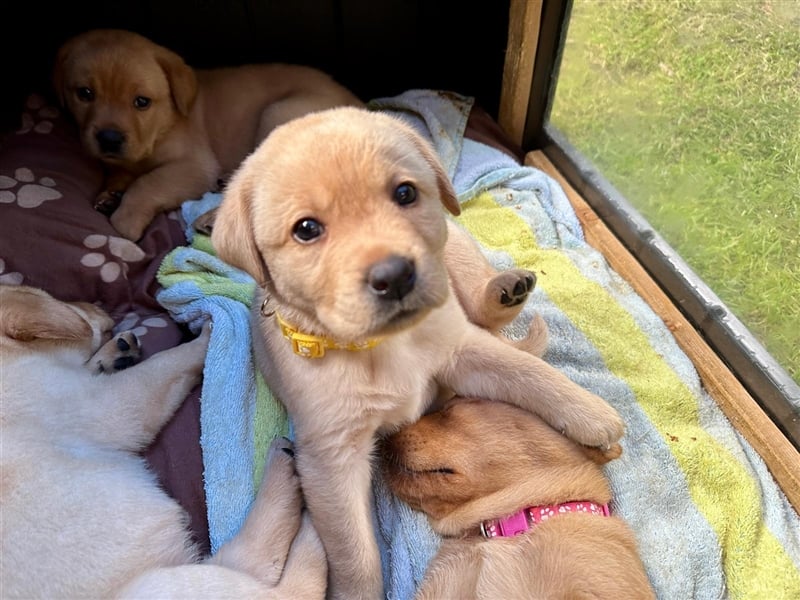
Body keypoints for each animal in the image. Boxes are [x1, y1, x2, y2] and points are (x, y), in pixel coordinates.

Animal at [0, 288, 324, 600]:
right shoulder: (106, 402)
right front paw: (206, 334)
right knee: (279, 582)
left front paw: (109, 357)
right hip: (158, 587)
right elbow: (167, 363)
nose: (98, 306)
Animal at [52, 29, 360, 241]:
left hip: (277, 113)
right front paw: (110, 195)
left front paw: (124, 221)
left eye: (141, 102)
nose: (109, 139)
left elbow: (147, 184)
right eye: (85, 94)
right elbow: (121, 174)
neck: (162, 125)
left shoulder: (194, 166)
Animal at [208, 108, 624, 600]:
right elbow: (355, 556)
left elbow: (527, 371)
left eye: (404, 193)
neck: (383, 345)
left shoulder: (461, 350)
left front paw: (592, 415)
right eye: (306, 229)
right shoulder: (332, 456)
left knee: (486, 311)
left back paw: (506, 290)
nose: (395, 275)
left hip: (455, 251)